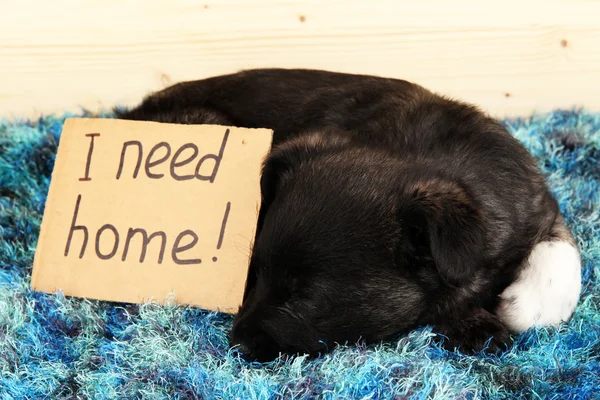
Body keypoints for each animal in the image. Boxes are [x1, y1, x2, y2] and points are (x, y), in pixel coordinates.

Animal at [117, 69, 580, 362]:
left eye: (305, 295)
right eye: (256, 274)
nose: (237, 344)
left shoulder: (542, 207)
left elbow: (563, 259)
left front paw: (521, 302)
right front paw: (474, 322)